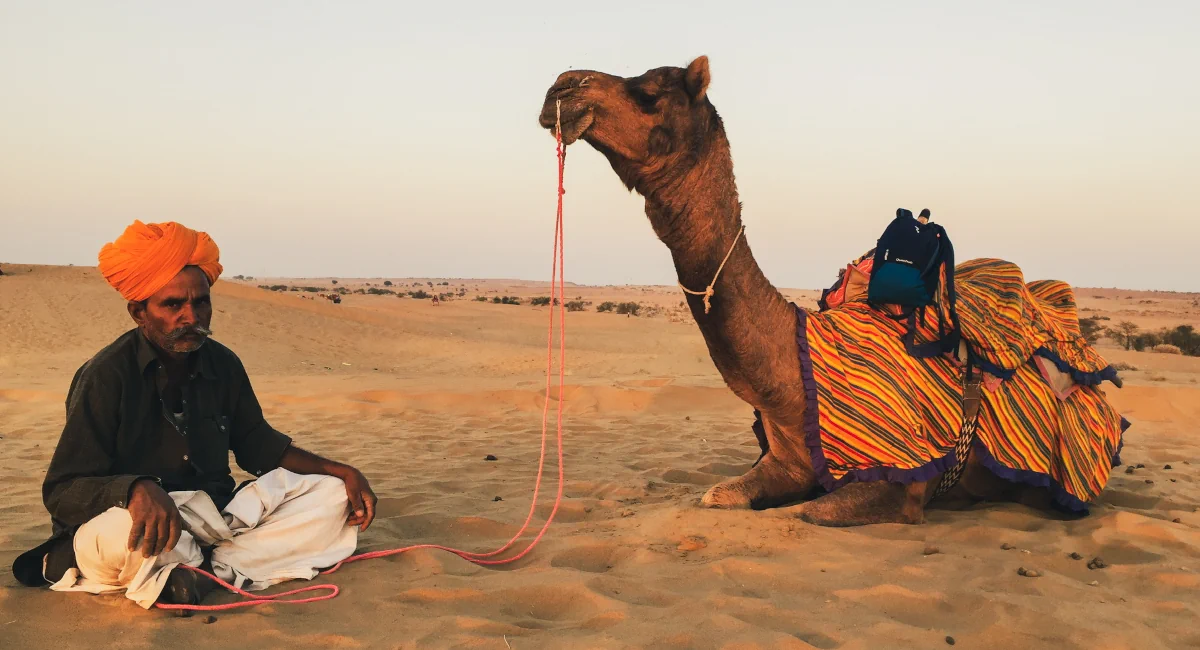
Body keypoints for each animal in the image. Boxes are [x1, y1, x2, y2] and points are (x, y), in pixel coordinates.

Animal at [537, 56, 1116, 526]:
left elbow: (809, 513)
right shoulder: (785, 460)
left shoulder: (900, 482)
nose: (561, 88)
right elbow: (716, 496)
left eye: (650, 92)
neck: (797, 368)